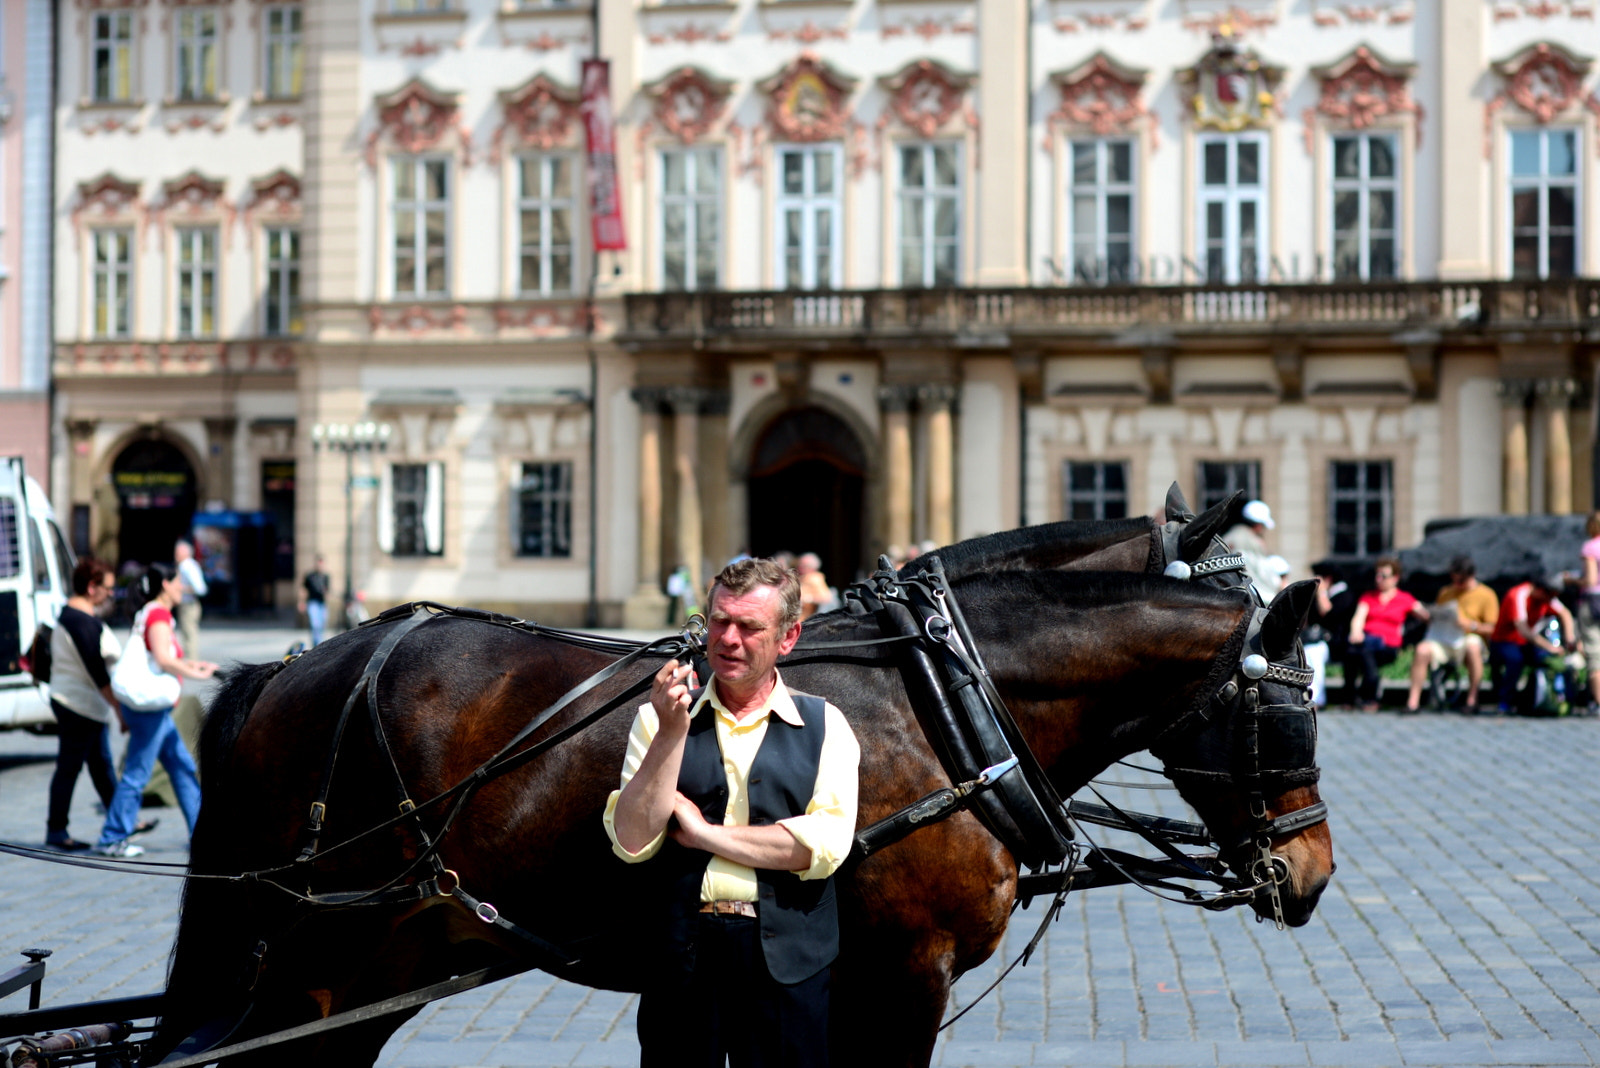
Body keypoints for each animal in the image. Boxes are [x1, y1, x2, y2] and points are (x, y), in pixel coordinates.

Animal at [150, 572, 1331, 1068]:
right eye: (1287, 711)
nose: (1313, 872)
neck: (951, 707)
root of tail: (294, 668)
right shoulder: (908, 973)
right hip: (312, 961)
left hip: (377, 970)